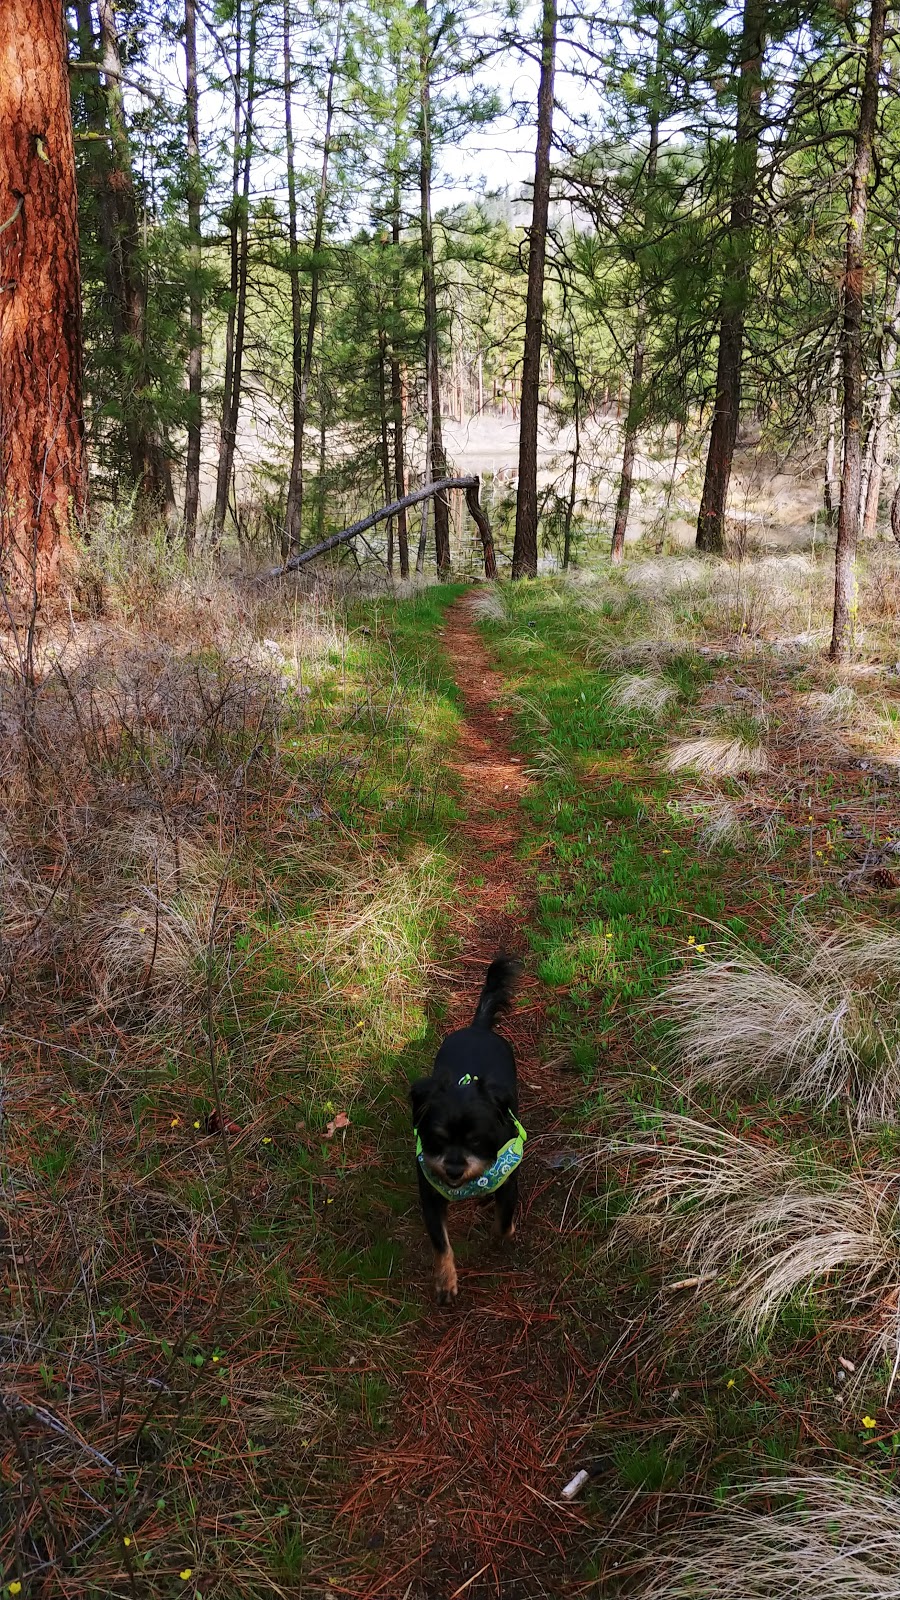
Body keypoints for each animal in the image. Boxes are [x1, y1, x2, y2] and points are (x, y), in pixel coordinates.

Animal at [408, 960, 522, 1299]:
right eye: (436, 1140)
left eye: (476, 1141)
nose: (454, 1169)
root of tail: (478, 1028)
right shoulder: (430, 1197)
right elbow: (440, 1243)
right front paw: (445, 1281)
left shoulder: (509, 1183)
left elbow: (504, 1219)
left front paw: (501, 1239)